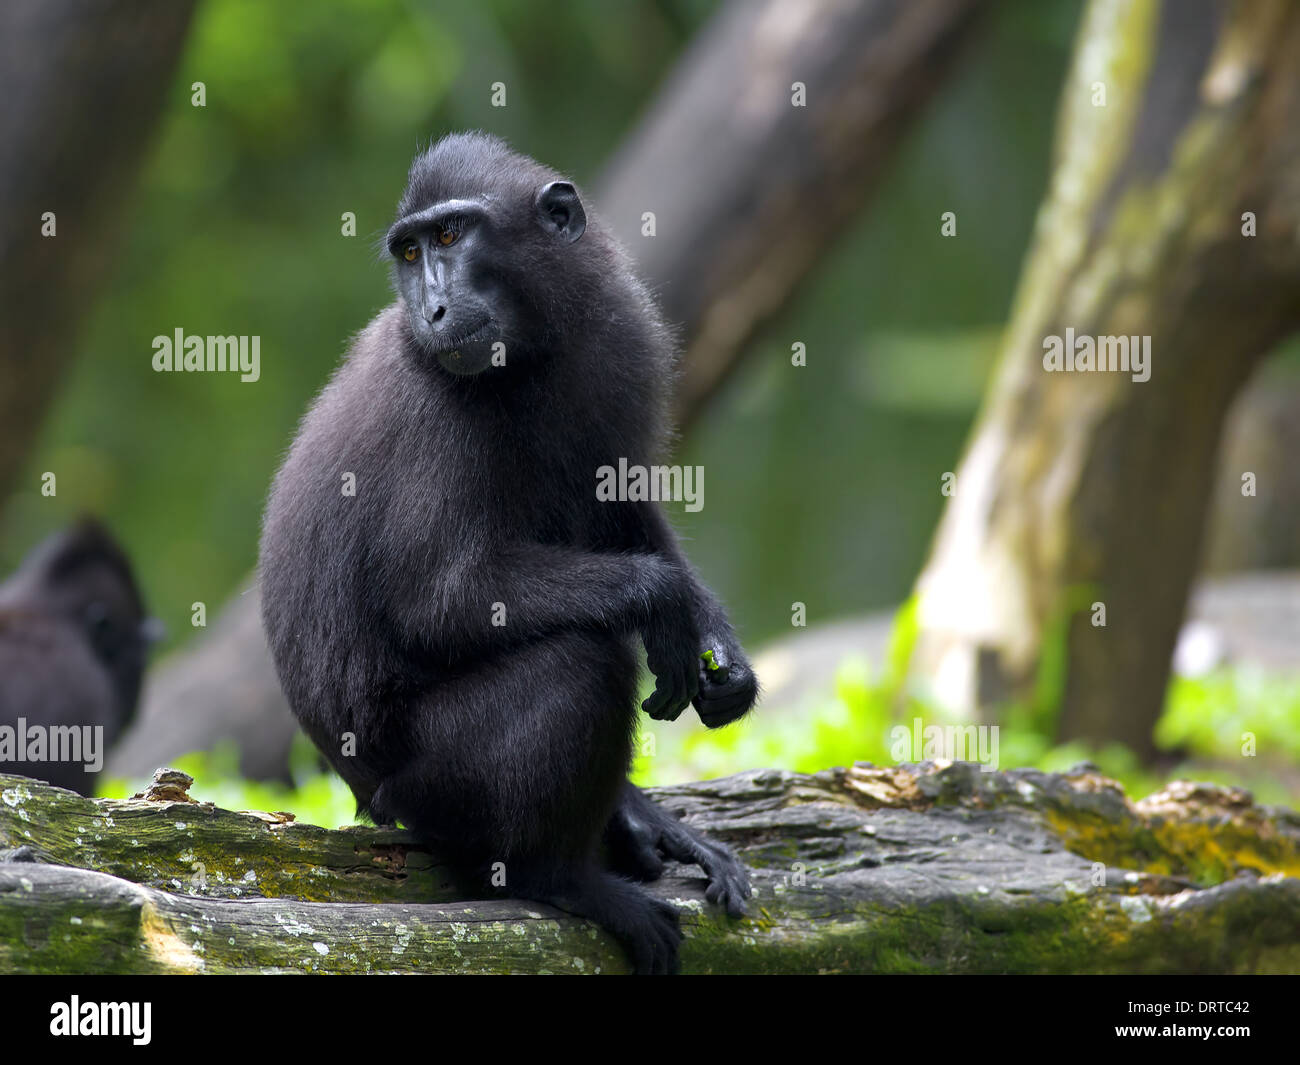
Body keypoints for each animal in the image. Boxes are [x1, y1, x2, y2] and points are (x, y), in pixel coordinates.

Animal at [259, 132, 759, 974]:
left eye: (452, 235)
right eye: (410, 251)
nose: (430, 307)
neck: (531, 354)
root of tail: (362, 791)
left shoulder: (618, 334)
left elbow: (622, 507)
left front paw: (717, 645)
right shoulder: (434, 410)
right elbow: (440, 600)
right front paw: (668, 606)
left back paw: (631, 821)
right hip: (425, 788)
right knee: (579, 661)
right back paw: (558, 877)